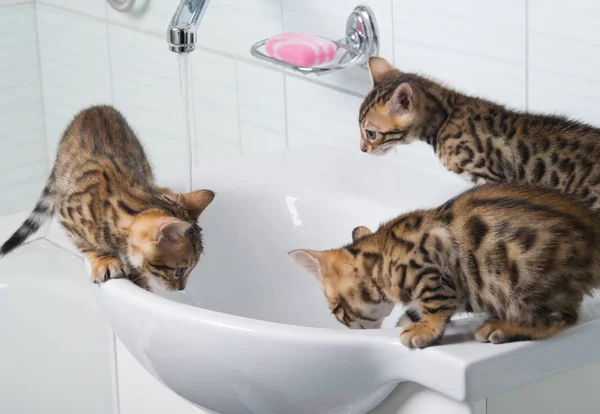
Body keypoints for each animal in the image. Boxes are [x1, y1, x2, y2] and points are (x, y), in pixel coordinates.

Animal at [0, 104, 216, 292]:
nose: (182, 288)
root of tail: (96, 107)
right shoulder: (65, 214)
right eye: (180, 271)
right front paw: (105, 260)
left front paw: (139, 280)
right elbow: (87, 244)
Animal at [288, 183, 600, 348]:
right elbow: (414, 310)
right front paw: (410, 322)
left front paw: (424, 330)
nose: (351, 331)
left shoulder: (429, 271)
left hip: (524, 281)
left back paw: (503, 327)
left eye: (336, 311)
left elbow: (435, 304)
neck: (380, 258)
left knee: (562, 318)